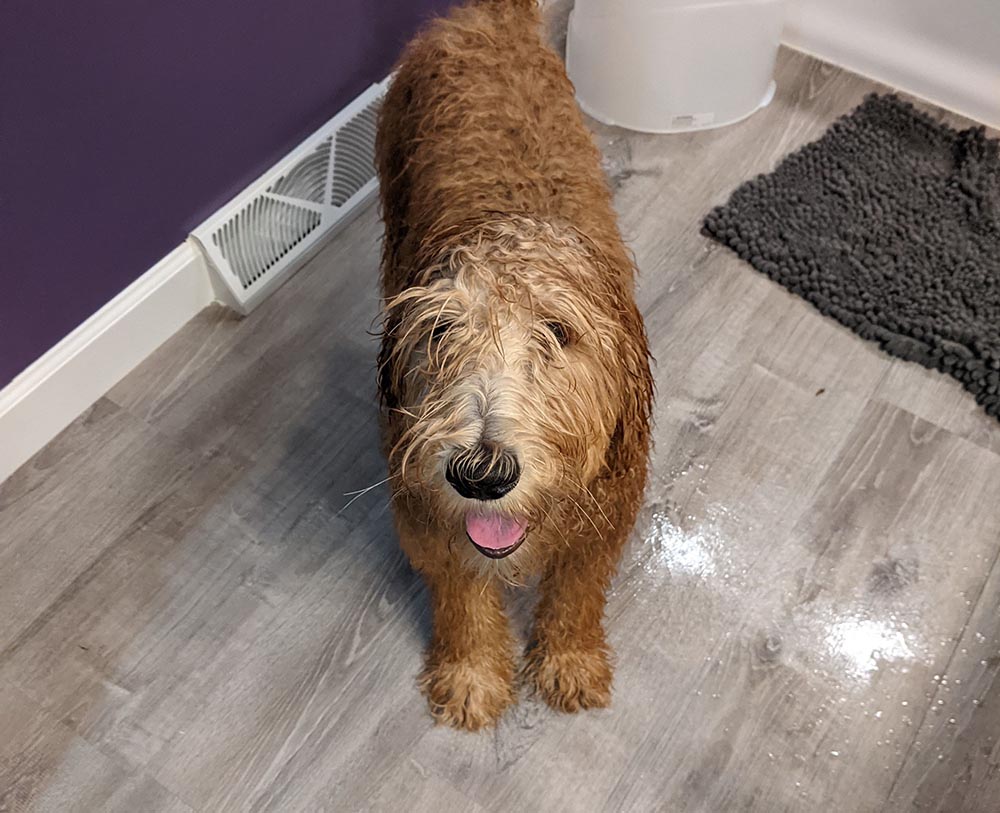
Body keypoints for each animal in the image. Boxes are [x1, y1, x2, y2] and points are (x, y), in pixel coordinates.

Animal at [376, 0, 656, 728]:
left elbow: (577, 591)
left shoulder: (607, 511)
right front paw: (472, 673)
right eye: (441, 330)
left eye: (558, 333)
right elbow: (461, 596)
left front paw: (569, 659)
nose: (481, 473)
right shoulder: (426, 511)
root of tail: (483, 16)